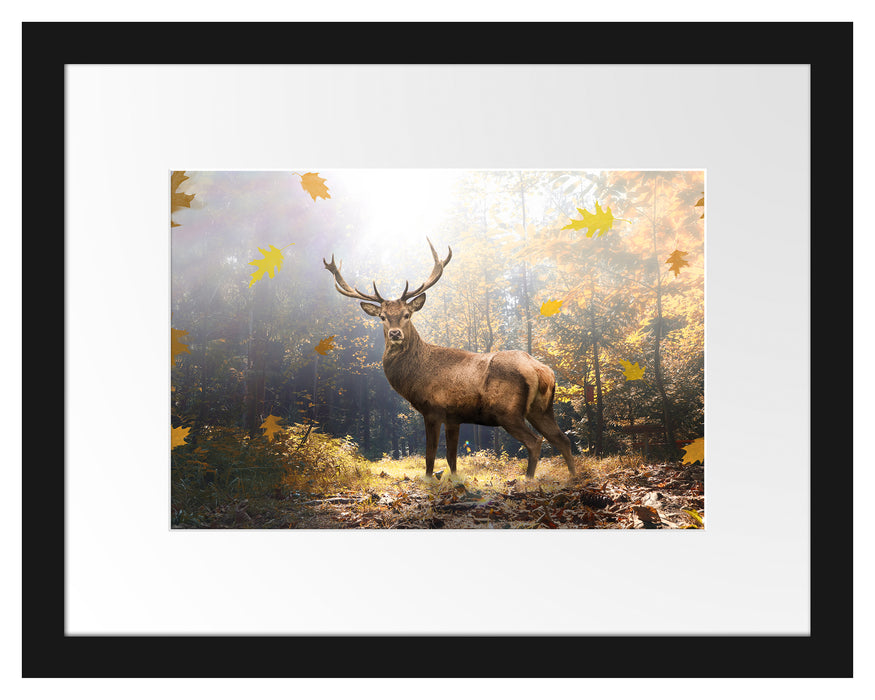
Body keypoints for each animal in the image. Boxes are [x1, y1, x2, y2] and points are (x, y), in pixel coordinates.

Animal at [323, 239, 576, 480]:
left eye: (407, 314)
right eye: (383, 317)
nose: (395, 334)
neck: (415, 376)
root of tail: (541, 370)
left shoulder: (433, 409)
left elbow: (430, 455)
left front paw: (428, 480)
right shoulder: (454, 417)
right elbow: (452, 457)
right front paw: (454, 480)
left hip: (508, 411)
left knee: (535, 441)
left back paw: (529, 479)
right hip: (542, 409)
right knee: (563, 439)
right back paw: (573, 477)